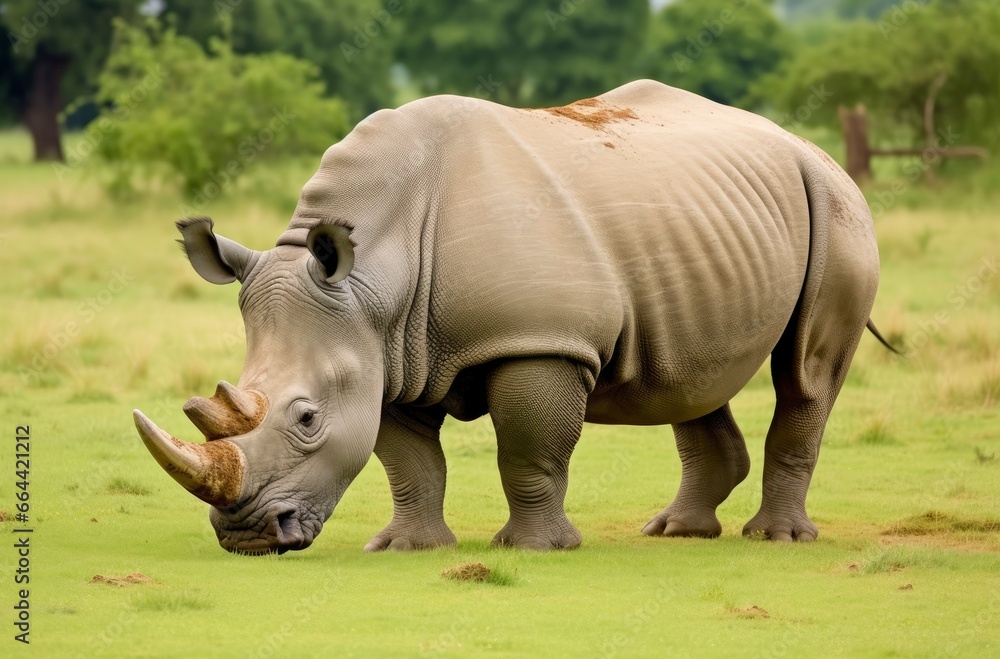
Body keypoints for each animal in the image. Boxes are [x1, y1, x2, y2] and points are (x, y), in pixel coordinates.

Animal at [133, 80, 893, 554]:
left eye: (308, 418)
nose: (244, 536)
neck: (375, 272)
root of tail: (806, 146)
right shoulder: (388, 350)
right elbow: (409, 459)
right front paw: (406, 547)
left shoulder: (538, 340)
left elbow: (529, 448)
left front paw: (533, 548)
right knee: (692, 371)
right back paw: (676, 532)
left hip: (836, 204)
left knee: (806, 373)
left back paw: (777, 538)